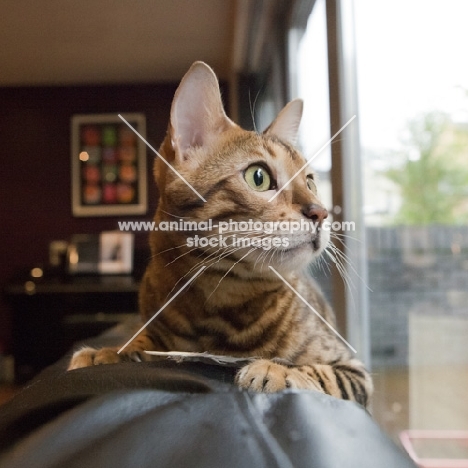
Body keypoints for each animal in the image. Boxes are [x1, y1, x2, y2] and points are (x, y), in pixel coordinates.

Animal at [68, 61, 372, 406]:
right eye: (258, 177)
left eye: (309, 181)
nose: (321, 212)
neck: (219, 306)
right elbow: (145, 340)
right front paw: (111, 351)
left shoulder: (353, 368)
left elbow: (322, 374)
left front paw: (276, 370)